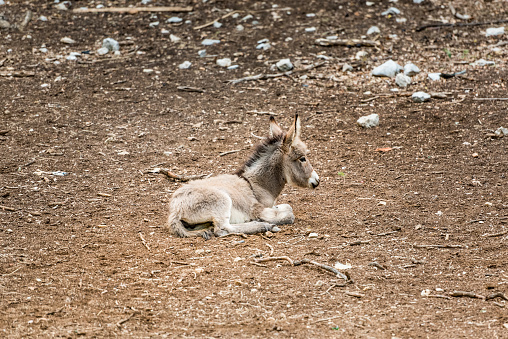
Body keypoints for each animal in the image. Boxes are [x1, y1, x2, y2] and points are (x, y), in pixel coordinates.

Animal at [168, 115, 318, 240]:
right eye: (302, 158)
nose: (317, 181)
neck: (257, 185)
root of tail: (175, 211)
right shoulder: (257, 210)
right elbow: (289, 213)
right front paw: (268, 221)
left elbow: (287, 206)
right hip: (222, 201)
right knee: (223, 229)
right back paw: (264, 226)